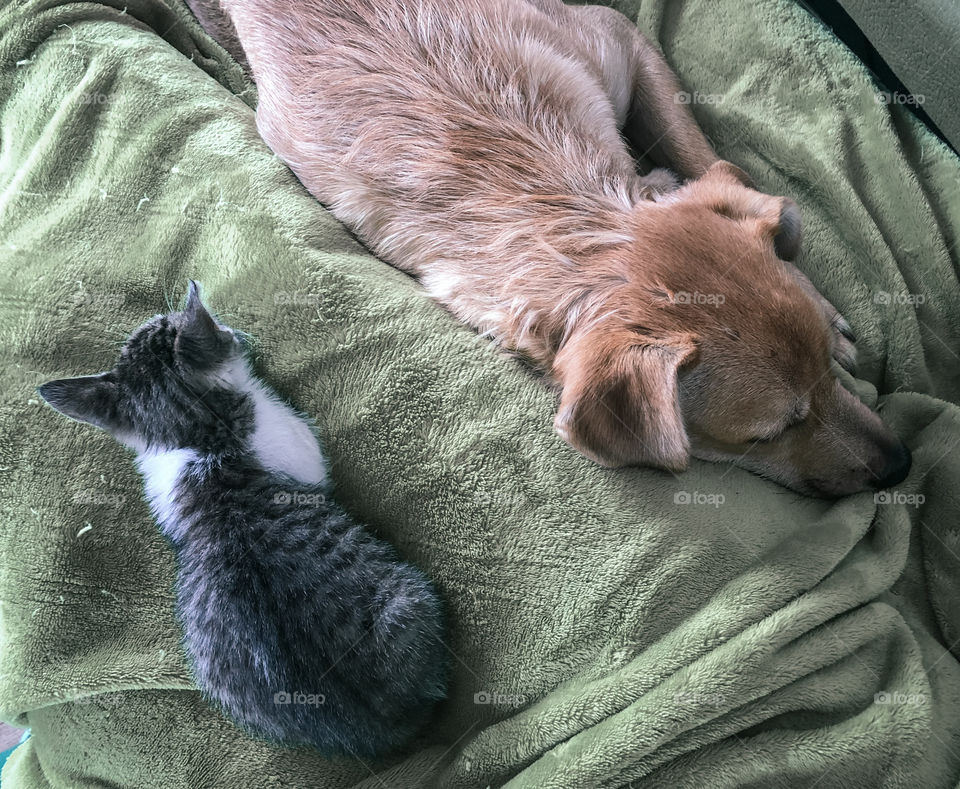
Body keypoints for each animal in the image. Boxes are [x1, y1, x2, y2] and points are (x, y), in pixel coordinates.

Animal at [41, 284, 450, 756]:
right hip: (413, 594)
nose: (235, 330)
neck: (202, 438)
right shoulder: (296, 442)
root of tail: (375, 727)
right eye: (218, 327)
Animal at [189, 0, 916, 496]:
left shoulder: (620, 41)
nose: (903, 463)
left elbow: (706, 158)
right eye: (770, 434)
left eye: (827, 374)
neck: (565, 198)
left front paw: (821, 298)